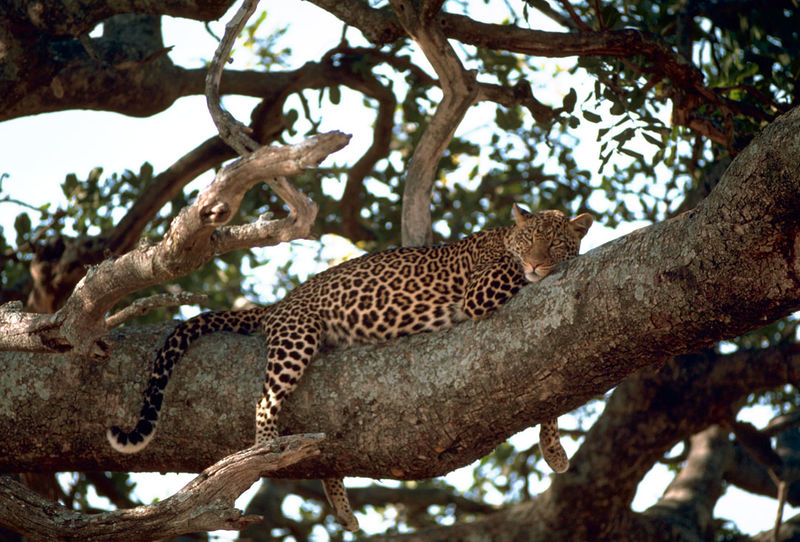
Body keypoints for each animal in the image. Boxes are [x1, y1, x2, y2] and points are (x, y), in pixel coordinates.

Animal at [107, 203, 593, 532]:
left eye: (555, 241)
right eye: (529, 241)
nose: (538, 262)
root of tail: (279, 303)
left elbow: (551, 397)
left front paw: (553, 449)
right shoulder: (484, 289)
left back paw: (340, 507)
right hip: (296, 338)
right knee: (265, 401)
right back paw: (265, 452)